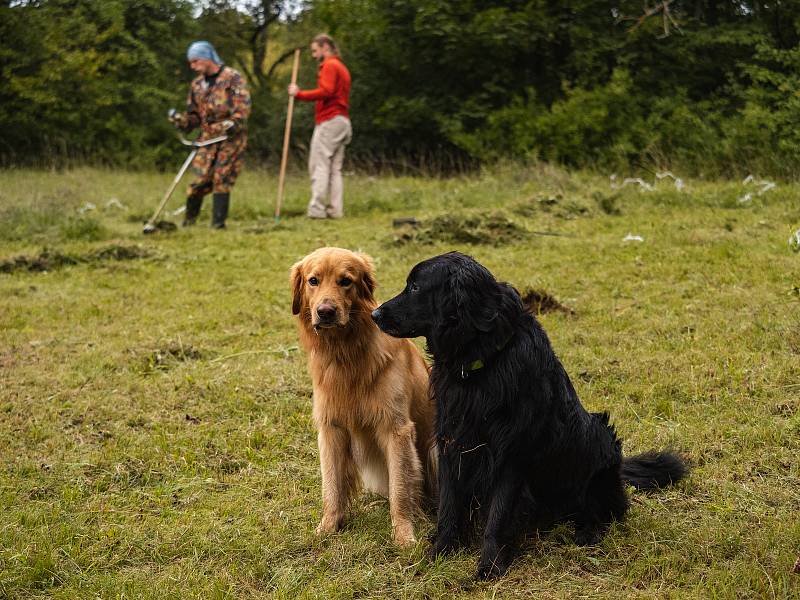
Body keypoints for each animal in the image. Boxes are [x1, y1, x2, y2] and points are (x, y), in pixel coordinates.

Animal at [290, 246, 434, 548]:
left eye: (346, 281)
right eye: (313, 281)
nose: (326, 312)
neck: (345, 353)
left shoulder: (396, 429)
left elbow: (400, 489)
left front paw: (404, 535)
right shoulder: (331, 428)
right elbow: (332, 487)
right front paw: (327, 528)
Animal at [372, 251, 684, 580]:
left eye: (416, 287)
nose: (374, 315)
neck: (481, 362)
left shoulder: (510, 455)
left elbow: (497, 516)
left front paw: (490, 565)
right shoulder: (453, 443)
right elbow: (449, 506)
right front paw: (440, 552)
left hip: (600, 439)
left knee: (605, 510)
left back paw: (587, 532)